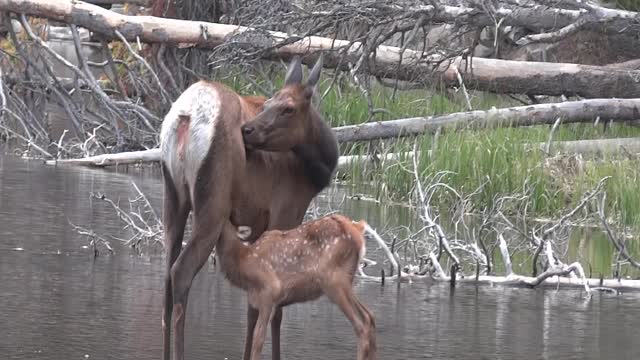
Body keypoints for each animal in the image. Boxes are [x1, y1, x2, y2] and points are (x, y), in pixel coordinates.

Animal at [160, 54, 338, 360]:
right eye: (268, 104)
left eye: (288, 108)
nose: (248, 130)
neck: (317, 171)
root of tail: (187, 114)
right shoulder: (285, 212)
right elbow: (277, 309)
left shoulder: (255, 226)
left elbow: (252, 305)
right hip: (212, 204)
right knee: (181, 271)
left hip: (174, 199)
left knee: (166, 280)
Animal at [218, 214, 378, 360]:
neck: (243, 263)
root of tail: (358, 229)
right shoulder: (257, 299)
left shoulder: (269, 290)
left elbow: (258, 338)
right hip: (345, 280)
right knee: (370, 315)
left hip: (333, 280)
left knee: (362, 323)